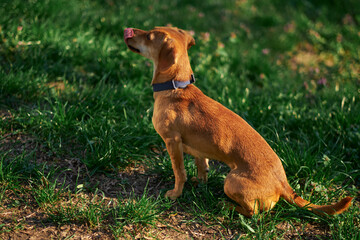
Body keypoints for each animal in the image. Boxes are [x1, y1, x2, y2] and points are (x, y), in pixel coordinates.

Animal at [123, 26, 352, 218]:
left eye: (149, 36)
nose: (129, 30)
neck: (176, 87)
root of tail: (283, 183)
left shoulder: (172, 142)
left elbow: (180, 173)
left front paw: (175, 194)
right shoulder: (199, 149)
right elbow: (202, 167)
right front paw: (200, 182)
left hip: (231, 182)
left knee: (253, 213)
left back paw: (226, 206)